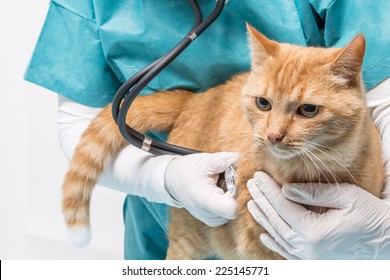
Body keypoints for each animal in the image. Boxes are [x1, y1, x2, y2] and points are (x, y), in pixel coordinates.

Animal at [61, 24, 384, 260]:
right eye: (263, 103)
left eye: (308, 110)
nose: (273, 135)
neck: (315, 175)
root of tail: (194, 99)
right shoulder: (260, 251)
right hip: (189, 240)